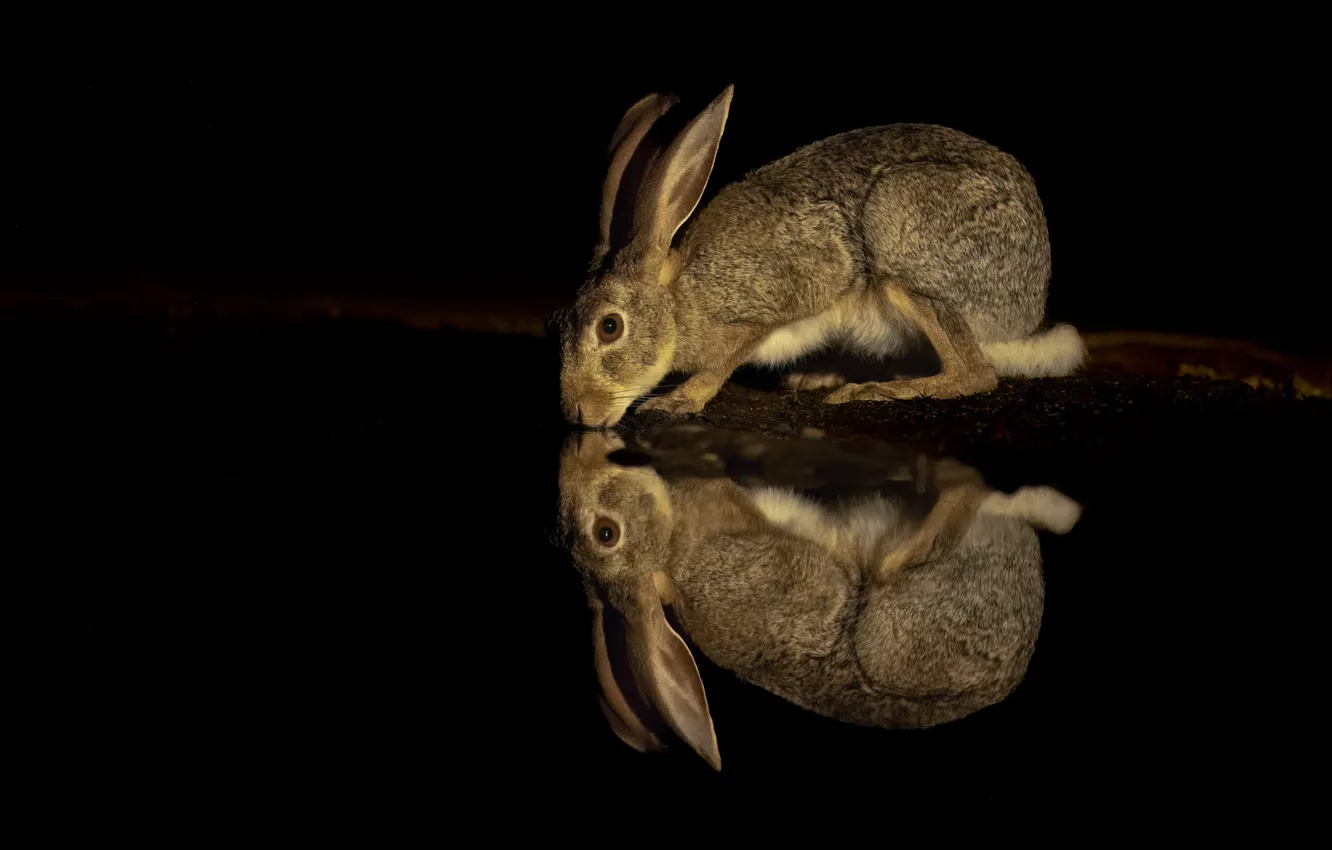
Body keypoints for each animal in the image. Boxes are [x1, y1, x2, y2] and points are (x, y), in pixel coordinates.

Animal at [557, 85, 1086, 427]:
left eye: (610, 327)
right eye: (556, 323)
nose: (578, 414)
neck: (678, 301)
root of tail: (1025, 315)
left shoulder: (772, 300)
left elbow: (724, 362)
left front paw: (679, 401)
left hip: (901, 256)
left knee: (974, 374)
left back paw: (876, 389)